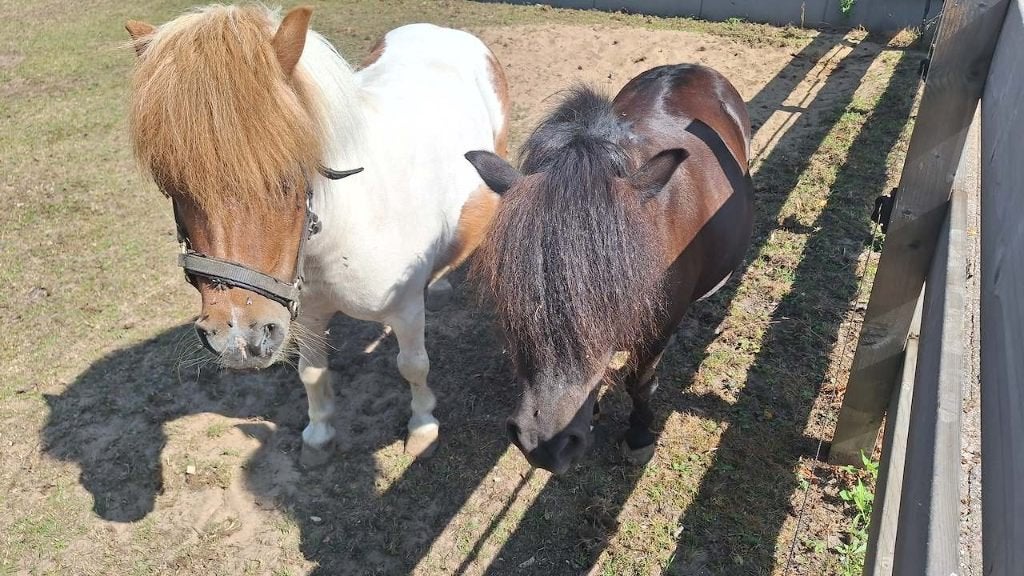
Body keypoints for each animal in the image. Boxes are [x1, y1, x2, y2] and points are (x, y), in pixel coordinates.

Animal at [124, 5, 508, 464]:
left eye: (289, 176)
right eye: (171, 187)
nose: (236, 337)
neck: (340, 235)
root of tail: (440, 31)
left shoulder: (405, 311)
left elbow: (413, 365)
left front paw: (422, 426)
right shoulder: (301, 315)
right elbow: (311, 371)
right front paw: (319, 432)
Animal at [465, 65, 754, 474]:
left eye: (612, 294)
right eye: (512, 289)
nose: (545, 445)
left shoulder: (658, 330)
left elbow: (639, 382)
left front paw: (639, 435)